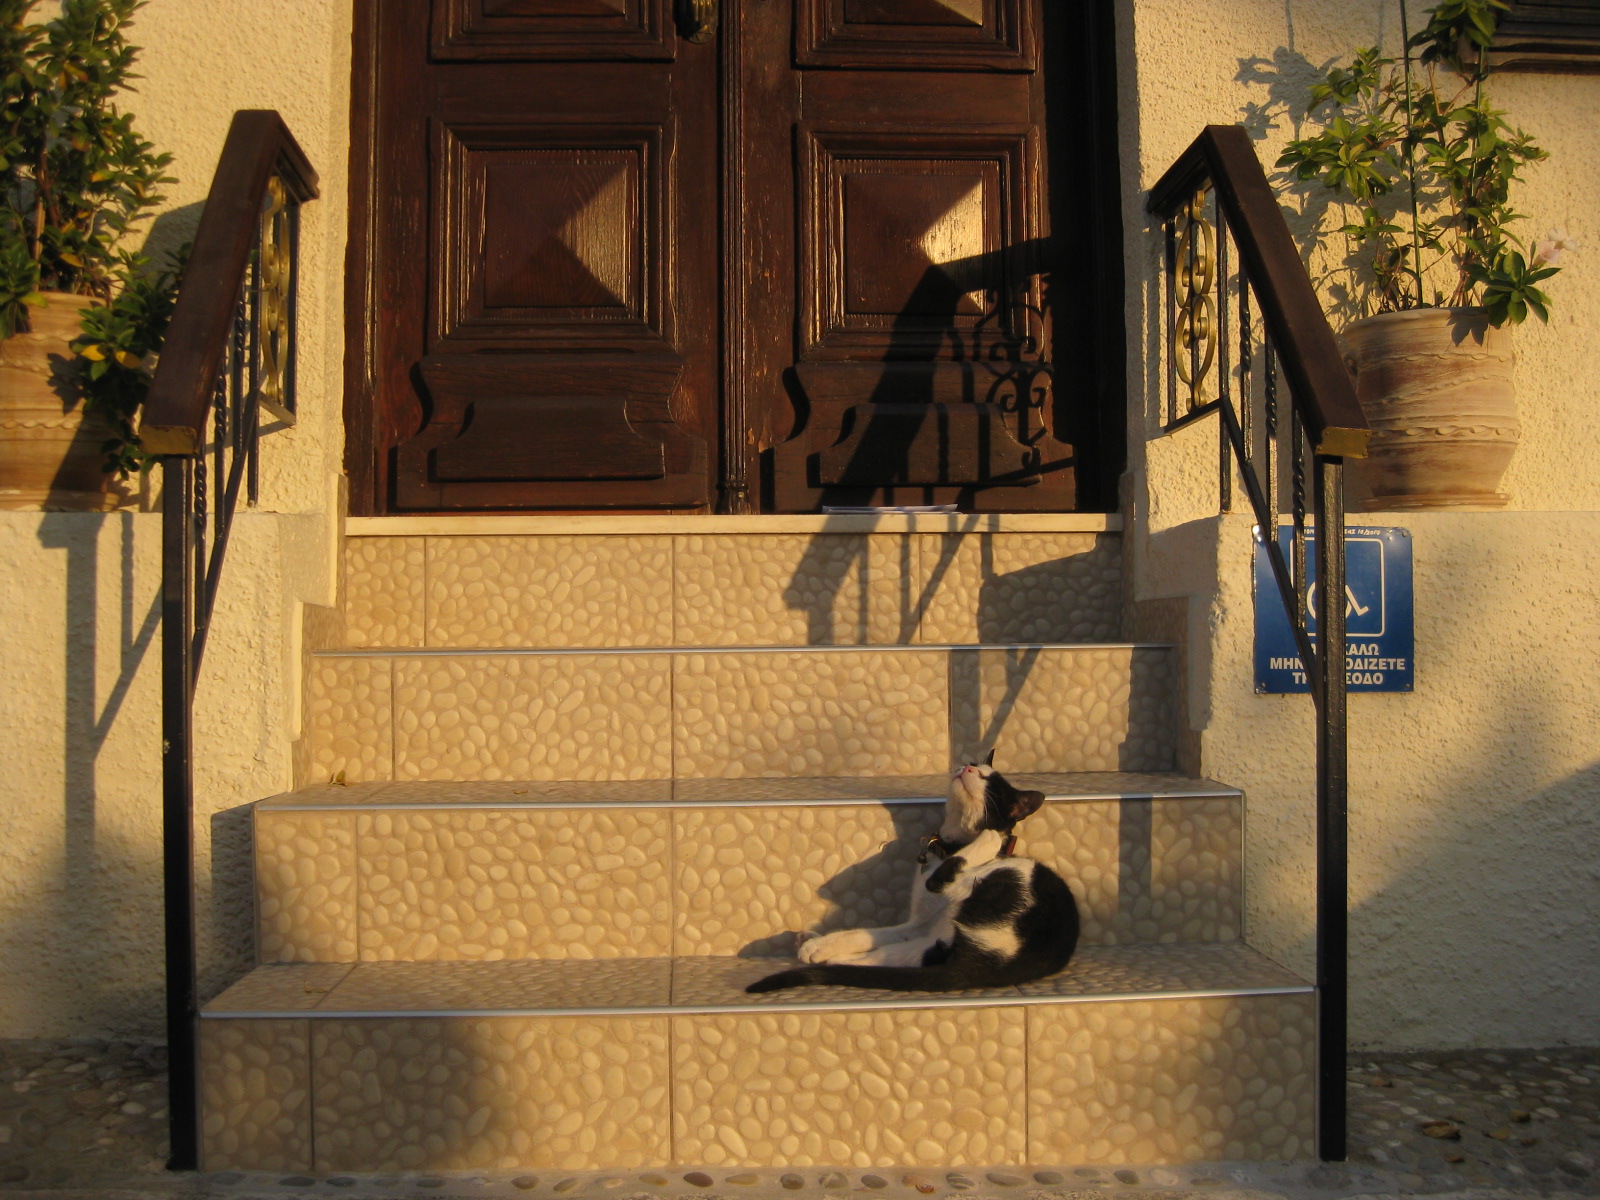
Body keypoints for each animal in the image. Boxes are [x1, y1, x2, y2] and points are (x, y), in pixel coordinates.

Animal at [746, 753, 1079, 993]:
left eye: (991, 784)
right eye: (973, 763)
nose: (968, 768)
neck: (948, 845)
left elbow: (947, 872)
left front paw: (992, 837)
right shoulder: (918, 924)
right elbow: (868, 934)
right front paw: (823, 945)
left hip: (1011, 877)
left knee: (941, 885)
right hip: (933, 942)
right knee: (888, 959)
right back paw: (815, 945)